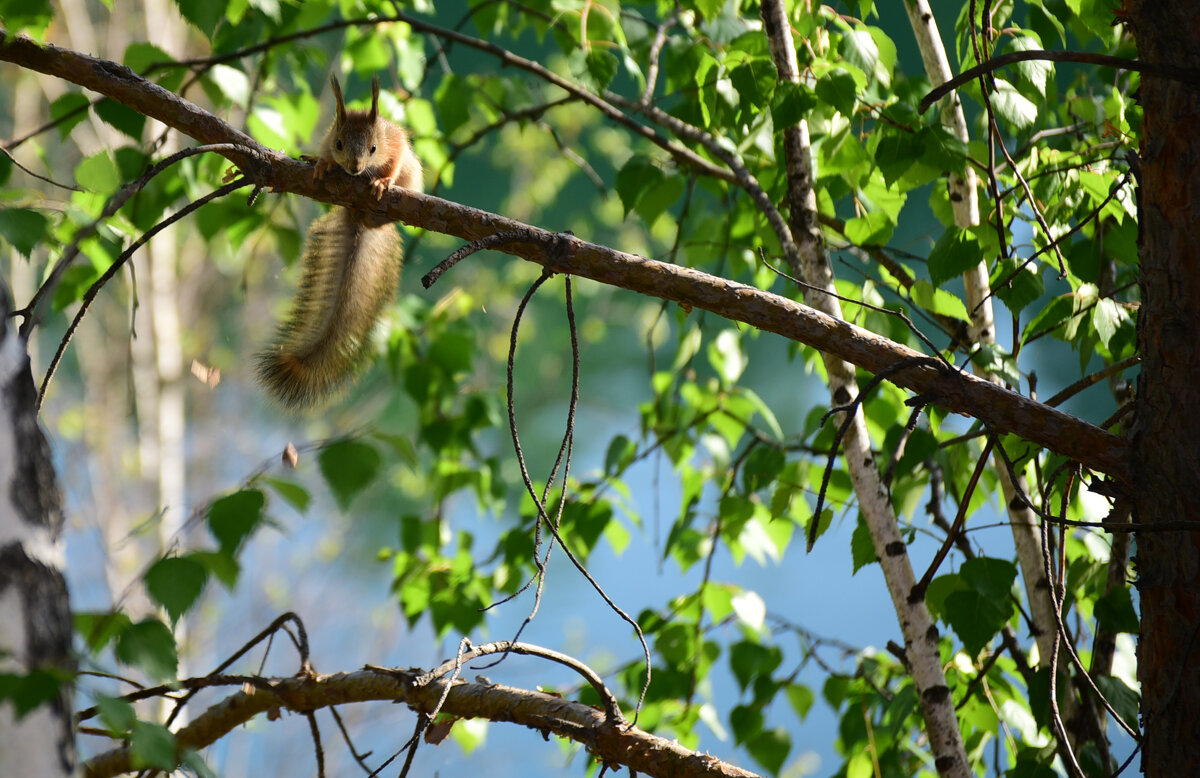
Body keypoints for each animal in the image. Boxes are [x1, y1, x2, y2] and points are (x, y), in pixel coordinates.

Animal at [255, 75, 420, 410]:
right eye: (339, 143)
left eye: (373, 147)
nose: (354, 168)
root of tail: (357, 215)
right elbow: (325, 157)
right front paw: (322, 164)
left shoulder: (395, 143)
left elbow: (395, 162)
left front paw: (383, 181)